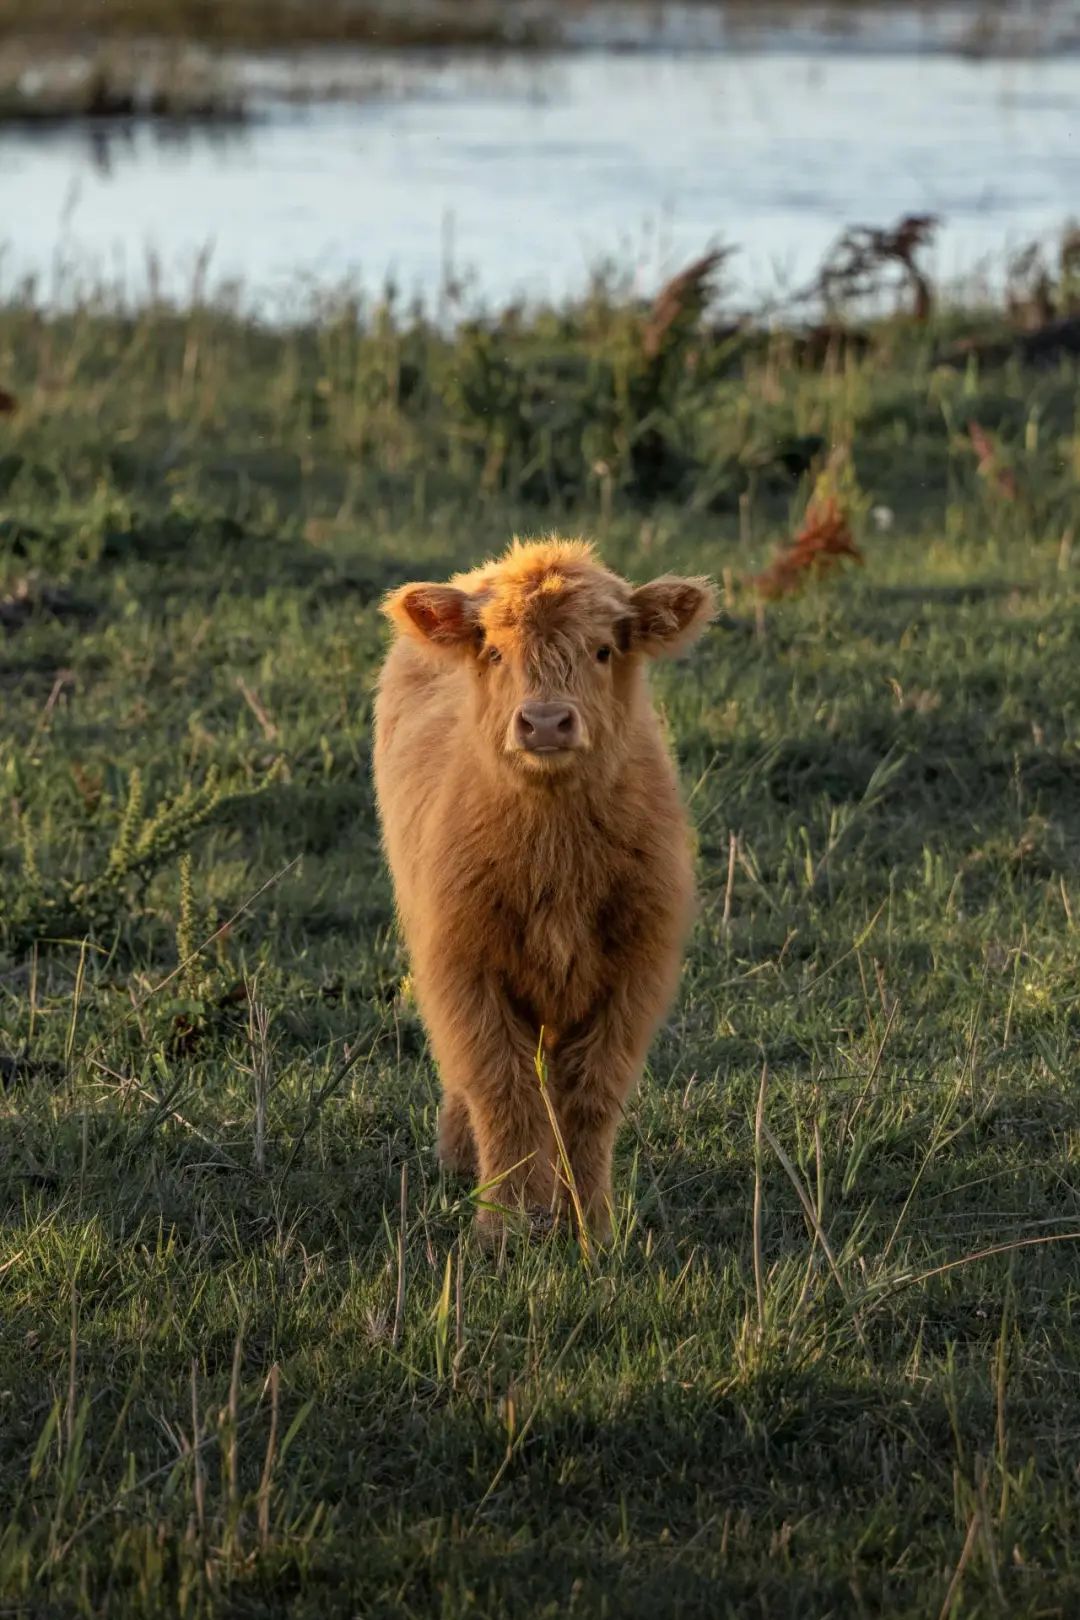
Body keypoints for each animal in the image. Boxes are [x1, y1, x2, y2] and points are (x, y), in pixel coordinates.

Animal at [375, 534, 712, 1237]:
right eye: (495, 651)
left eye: (603, 649)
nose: (548, 723)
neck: (556, 861)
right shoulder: (463, 968)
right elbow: (500, 1088)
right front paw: (505, 1223)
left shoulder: (633, 974)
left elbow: (590, 1095)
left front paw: (589, 1222)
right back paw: (459, 1160)